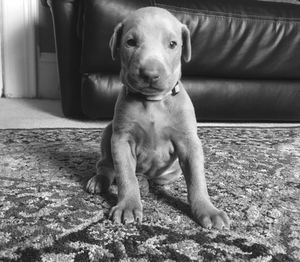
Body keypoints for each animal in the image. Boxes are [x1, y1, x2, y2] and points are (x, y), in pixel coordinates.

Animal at [85, 6, 231, 229]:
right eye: (130, 42)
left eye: (172, 44)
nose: (150, 74)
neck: (153, 102)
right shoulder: (121, 140)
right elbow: (125, 175)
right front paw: (128, 205)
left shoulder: (189, 142)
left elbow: (197, 179)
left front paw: (207, 209)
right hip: (108, 132)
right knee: (107, 166)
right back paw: (101, 180)